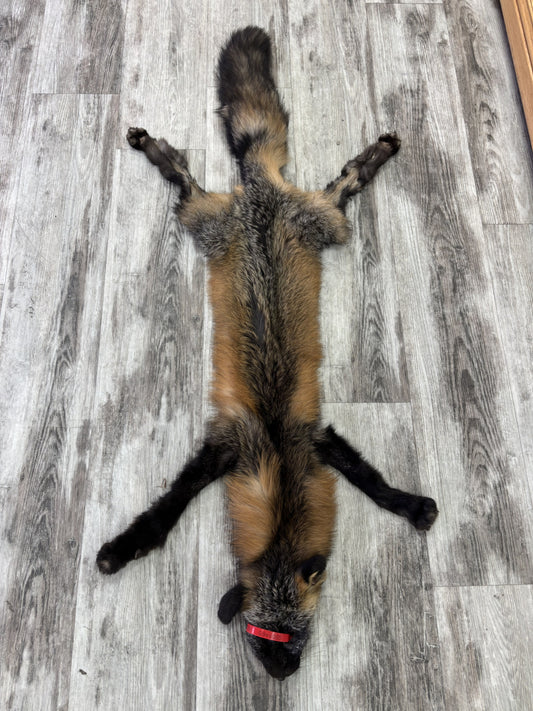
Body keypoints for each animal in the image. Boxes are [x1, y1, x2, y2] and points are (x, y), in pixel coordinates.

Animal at [96, 26, 438, 680]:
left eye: (293, 635)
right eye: (262, 637)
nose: (282, 678)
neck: (277, 456)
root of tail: (260, 188)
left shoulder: (316, 438)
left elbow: (374, 482)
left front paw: (410, 506)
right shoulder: (228, 447)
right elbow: (166, 511)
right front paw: (123, 547)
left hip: (315, 223)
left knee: (343, 181)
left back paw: (376, 153)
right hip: (211, 221)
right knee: (188, 177)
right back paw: (153, 147)